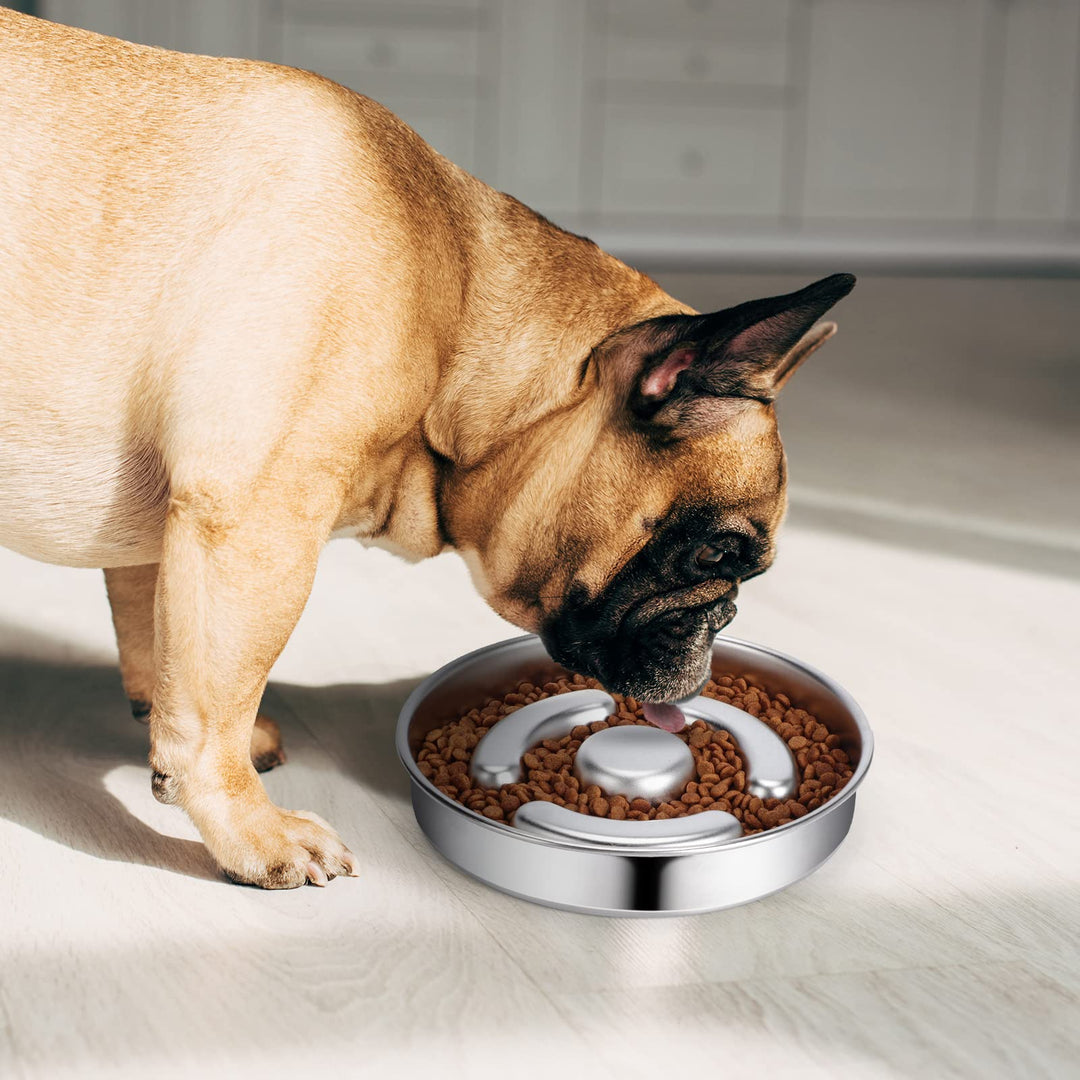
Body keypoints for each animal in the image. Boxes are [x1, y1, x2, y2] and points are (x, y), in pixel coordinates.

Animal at [4, 8, 855, 885]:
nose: (723, 618)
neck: (458, 311)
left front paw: (171, 740)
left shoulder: (169, 522)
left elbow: (156, 637)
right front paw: (250, 826)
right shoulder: (251, 525)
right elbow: (216, 705)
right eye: (716, 555)